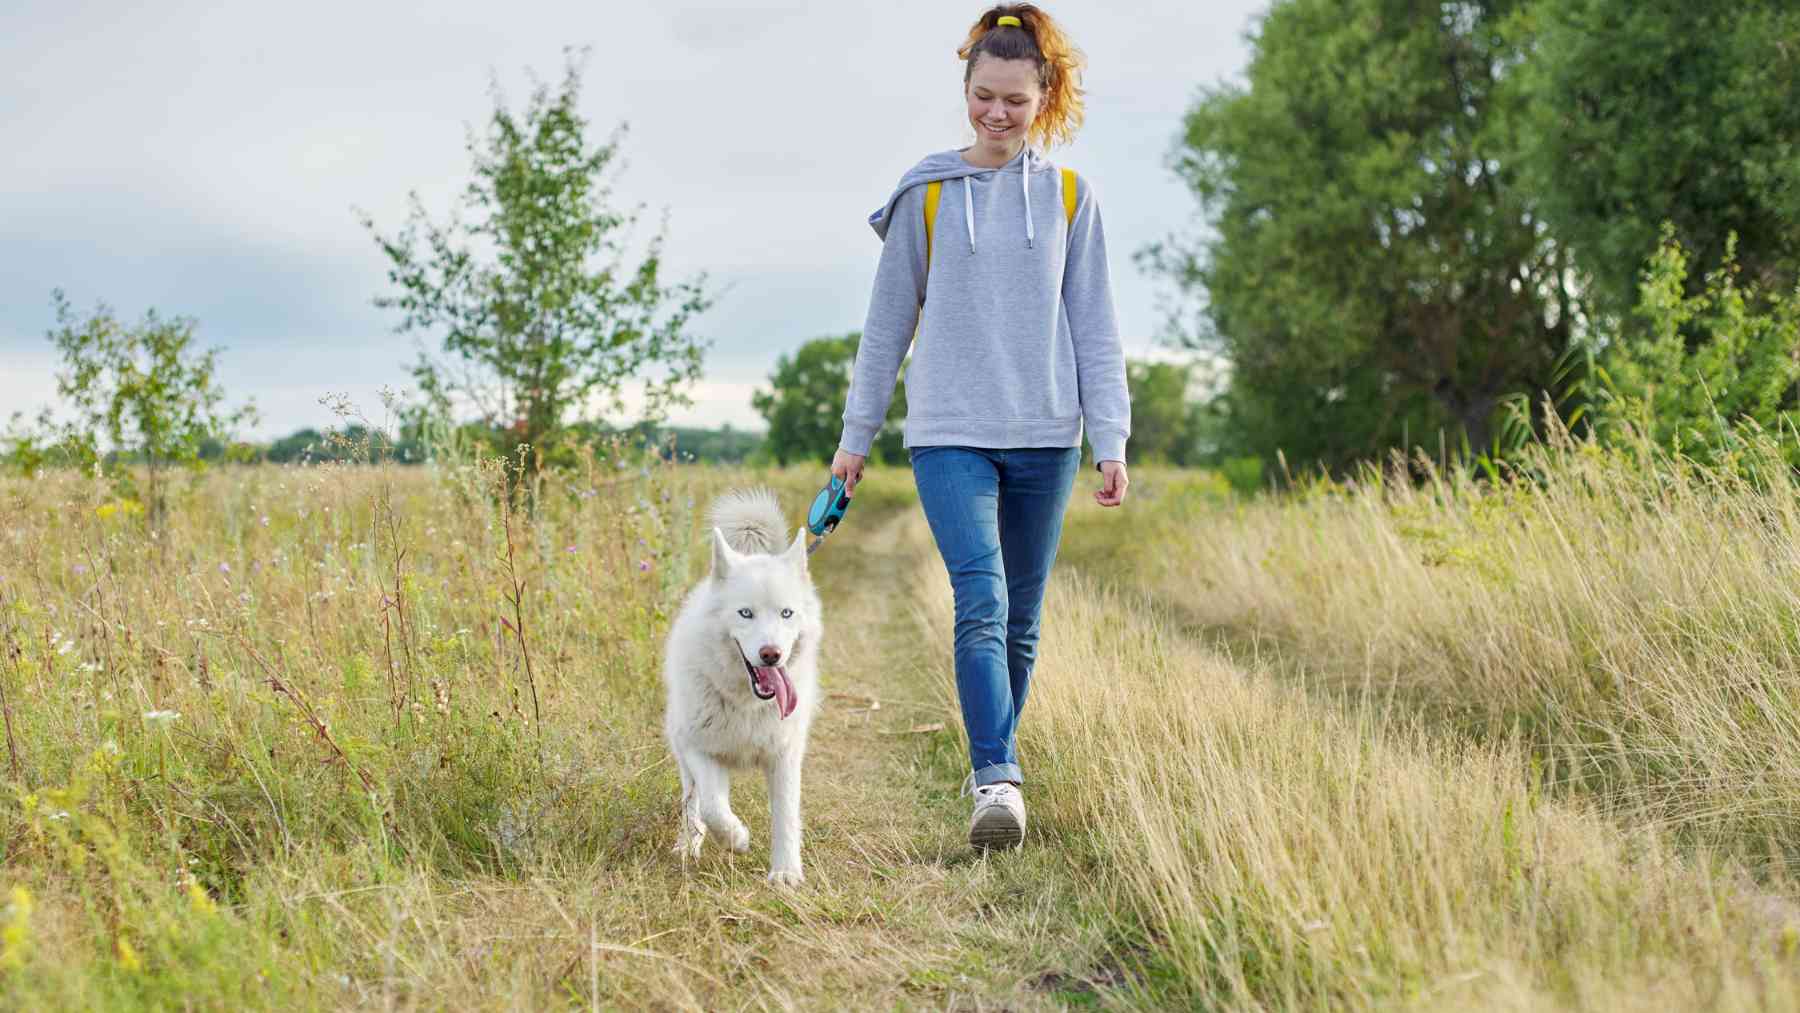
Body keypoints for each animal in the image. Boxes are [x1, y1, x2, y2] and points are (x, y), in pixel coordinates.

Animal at [666, 485, 824, 885]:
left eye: (786, 613)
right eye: (745, 613)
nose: (771, 655)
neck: (748, 703)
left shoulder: (785, 756)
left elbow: (785, 816)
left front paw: (785, 872)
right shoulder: (701, 750)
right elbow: (712, 807)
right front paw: (736, 838)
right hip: (682, 746)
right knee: (693, 802)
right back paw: (688, 845)